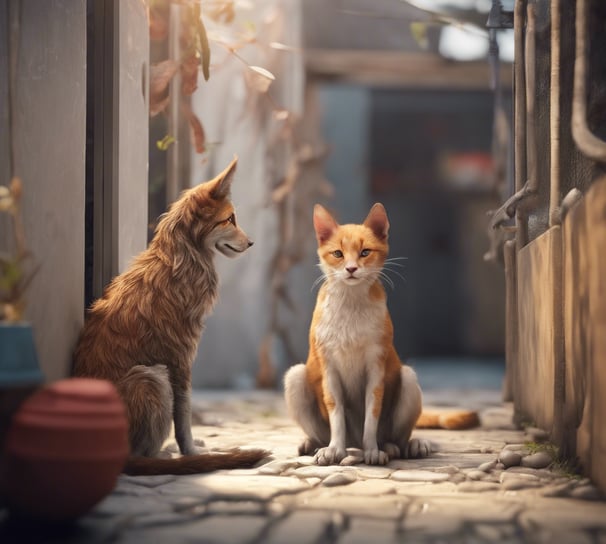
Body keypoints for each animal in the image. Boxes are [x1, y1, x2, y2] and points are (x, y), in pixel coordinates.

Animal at [73, 156, 268, 472]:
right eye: (230, 219)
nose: (251, 243)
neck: (184, 260)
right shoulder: (180, 359)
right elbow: (184, 418)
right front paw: (192, 453)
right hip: (151, 377)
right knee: (141, 454)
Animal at [284, 202, 480, 466]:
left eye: (365, 252)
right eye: (338, 254)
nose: (351, 268)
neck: (351, 306)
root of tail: (353, 443)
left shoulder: (376, 366)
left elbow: (372, 414)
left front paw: (372, 451)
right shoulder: (329, 368)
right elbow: (336, 412)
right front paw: (334, 449)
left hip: (407, 378)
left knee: (397, 435)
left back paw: (403, 446)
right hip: (295, 376)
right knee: (322, 428)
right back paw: (315, 444)